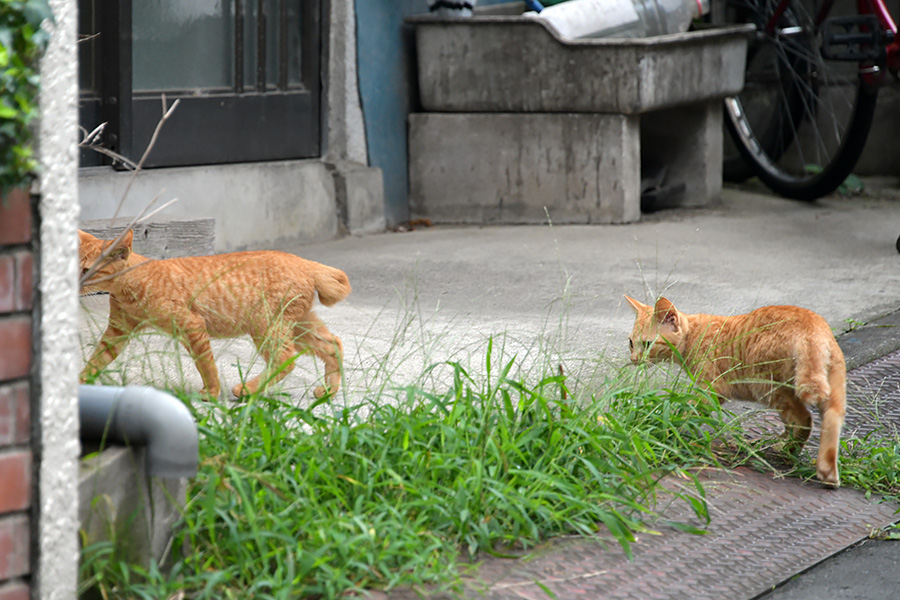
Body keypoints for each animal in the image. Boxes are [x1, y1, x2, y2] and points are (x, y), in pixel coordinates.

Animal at [79, 230, 350, 398]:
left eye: (87, 270)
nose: (76, 282)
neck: (130, 285)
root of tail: (305, 262)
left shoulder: (192, 326)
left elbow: (205, 364)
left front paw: (211, 392)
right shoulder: (118, 330)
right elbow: (97, 359)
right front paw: (80, 383)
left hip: (267, 326)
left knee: (285, 358)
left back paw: (248, 390)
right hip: (297, 324)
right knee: (333, 343)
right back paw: (328, 392)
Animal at [624, 296, 844, 488]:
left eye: (648, 344)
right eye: (631, 343)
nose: (634, 359)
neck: (693, 335)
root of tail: (812, 327)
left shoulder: (711, 389)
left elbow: (689, 411)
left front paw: (669, 430)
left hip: (770, 388)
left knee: (804, 419)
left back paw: (789, 450)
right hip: (831, 387)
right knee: (830, 417)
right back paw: (825, 471)